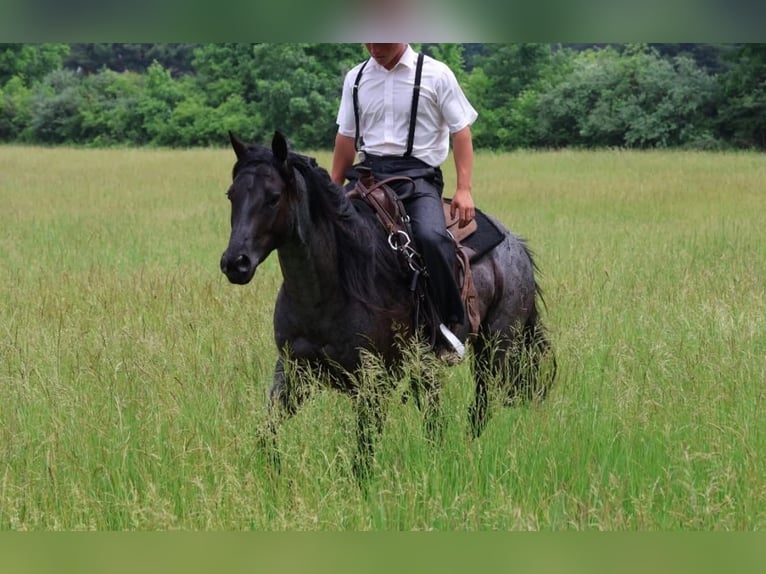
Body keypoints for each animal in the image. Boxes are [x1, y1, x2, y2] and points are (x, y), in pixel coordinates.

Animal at [220, 131, 554, 477]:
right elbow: (267, 434)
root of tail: (516, 244)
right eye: (231, 195)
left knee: (480, 408)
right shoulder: (291, 371)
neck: (324, 292)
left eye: (273, 197)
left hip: (495, 349)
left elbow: (362, 457)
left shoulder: (376, 382)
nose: (235, 263)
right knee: (435, 417)